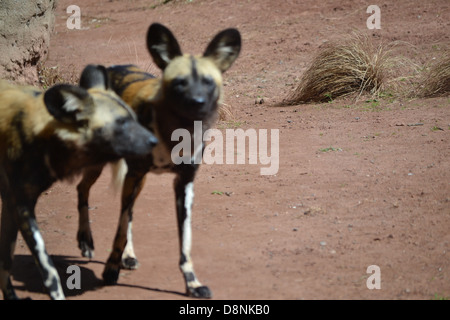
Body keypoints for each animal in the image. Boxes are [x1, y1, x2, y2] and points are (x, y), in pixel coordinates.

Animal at [0, 65, 158, 300]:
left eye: (135, 119)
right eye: (121, 123)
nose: (154, 141)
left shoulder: (14, 206)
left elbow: (5, 264)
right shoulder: (21, 207)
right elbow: (48, 269)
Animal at [75, 23, 241, 298]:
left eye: (208, 82)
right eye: (179, 83)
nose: (198, 103)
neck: (176, 131)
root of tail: (111, 67)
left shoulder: (183, 185)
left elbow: (184, 243)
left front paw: (192, 283)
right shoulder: (136, 175)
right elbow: (119, 230)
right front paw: (110, 270)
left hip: (135, 180)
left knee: (127, 213)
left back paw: (128, 255)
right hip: (105, 166)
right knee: (83, 190)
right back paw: (86, 242)